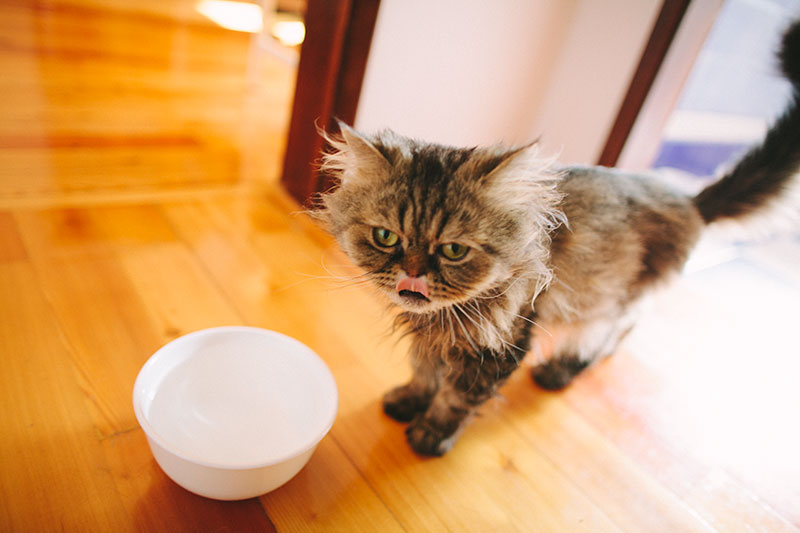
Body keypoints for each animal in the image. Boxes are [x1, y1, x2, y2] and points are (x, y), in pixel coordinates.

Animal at [314, 19, 800, 454]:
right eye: (385, 237)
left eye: (454, 250)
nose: (412, 273)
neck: (448, 315)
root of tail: (690, 201)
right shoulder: (435, 335)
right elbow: (424, 371)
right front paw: (408, 402)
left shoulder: (500, 343)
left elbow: (454, 397)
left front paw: (430, 436)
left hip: (612, 298)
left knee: (615, 328)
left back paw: (562, 371)